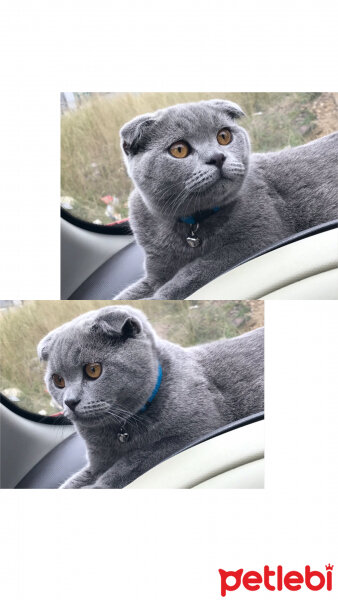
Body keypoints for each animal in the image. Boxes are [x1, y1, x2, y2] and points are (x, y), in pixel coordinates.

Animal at [37, 304, 264, 488]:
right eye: (58, 381)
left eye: (93, 370)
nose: (70, 401)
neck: (120, 431)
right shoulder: (97, 462)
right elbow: (74, 480)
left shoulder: (195, 431)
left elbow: (134, 459)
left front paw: (97, 486)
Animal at [114, 98, 338, 300]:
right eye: (179, 149)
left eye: (223, 136)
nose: (217, 157)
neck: (193, 224)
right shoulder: (155, 273)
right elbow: (132, 292)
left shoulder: (257, 239)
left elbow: (194, 271)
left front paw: (157, 297)